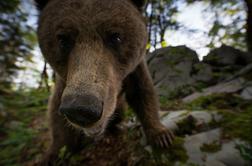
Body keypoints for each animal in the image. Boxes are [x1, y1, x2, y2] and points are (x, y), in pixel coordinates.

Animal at [35, 0, 173, 163]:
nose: (81, 109)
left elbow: (143, 93)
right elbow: (56, 113)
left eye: (116, 36)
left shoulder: (135, 70)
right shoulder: (64, 82)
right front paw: (52, 154)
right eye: (63, 39)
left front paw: (162, 135)